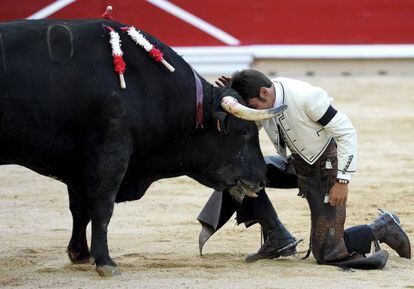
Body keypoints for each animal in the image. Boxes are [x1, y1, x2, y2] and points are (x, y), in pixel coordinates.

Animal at [0, 19, 266, 274]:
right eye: (244, 132)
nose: (262, 179)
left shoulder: (78, 163)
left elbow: (80, 208)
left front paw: (80, 254)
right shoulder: (110, 153)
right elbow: (102, 206)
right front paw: (105, 262)